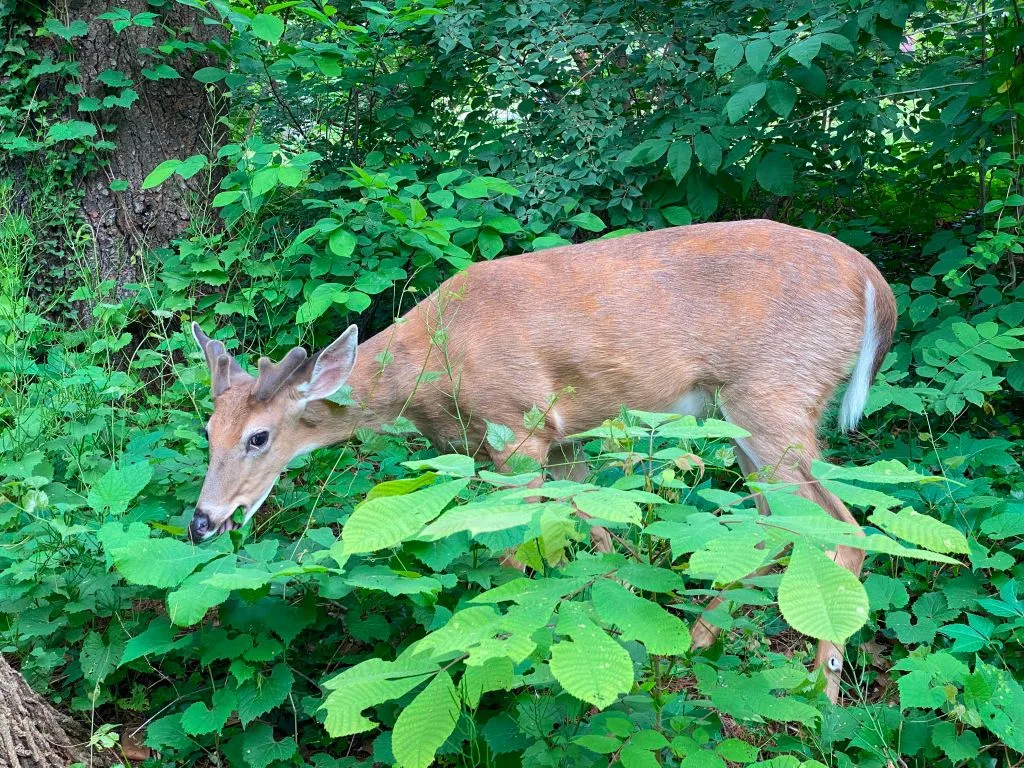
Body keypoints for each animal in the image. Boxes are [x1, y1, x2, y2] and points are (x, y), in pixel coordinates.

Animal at [188, 218, 896, 703]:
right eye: (208, 430)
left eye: (258, 437)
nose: (202, 521)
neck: (433, 365)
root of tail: (873, 283)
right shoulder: (560, 441)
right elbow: (593, 539)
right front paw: (626, 632)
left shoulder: (520, 430)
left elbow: (516, 556)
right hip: (742, 415)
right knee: (773, 523)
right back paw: (697, 642)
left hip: (773, 396)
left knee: (841, 527)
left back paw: (821, 693)